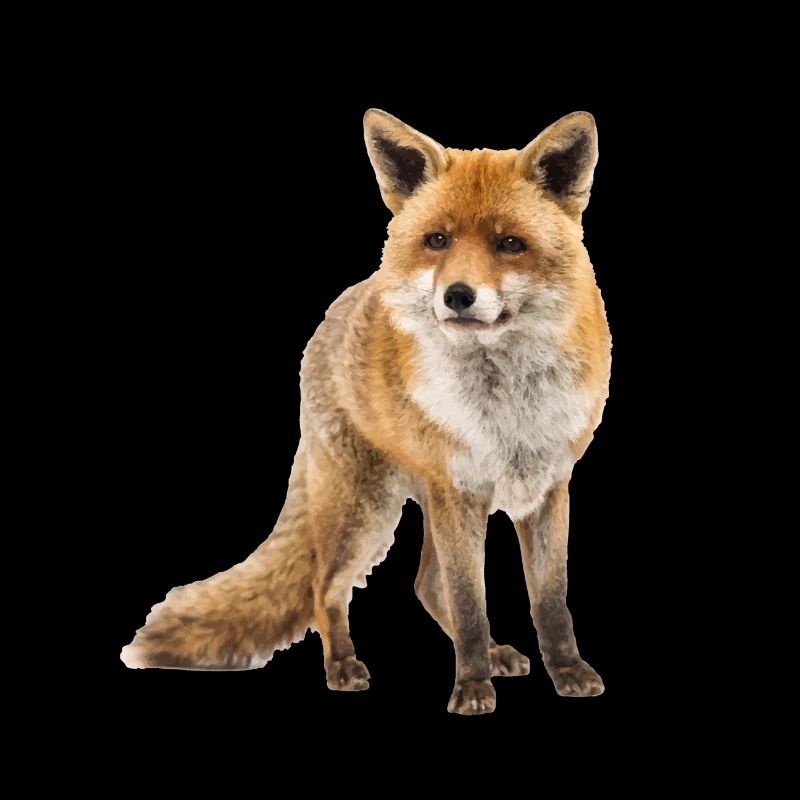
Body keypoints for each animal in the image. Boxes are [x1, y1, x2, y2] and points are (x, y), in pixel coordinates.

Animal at [121, 109, 611, 715]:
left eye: (510, 244)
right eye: (438, 240)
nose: (457, 295)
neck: (506, 410)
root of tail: (341, 305)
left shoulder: (546, 488)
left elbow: (551, 601)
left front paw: (566, 671)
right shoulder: (459, 494)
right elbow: (470, 602)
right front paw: (472, 687)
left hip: (420, 503)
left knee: (424, 584)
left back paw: (495, 654)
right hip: (368, 511)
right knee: (325, 587)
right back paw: (343, 665)